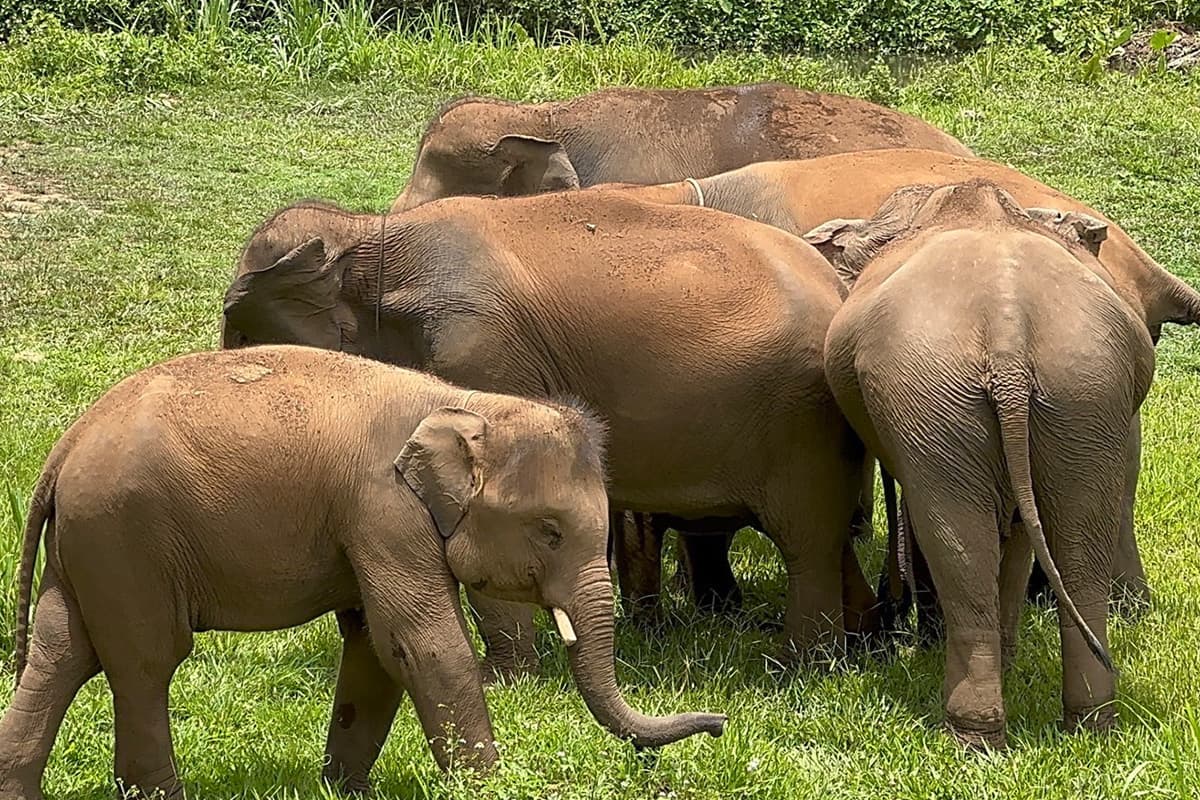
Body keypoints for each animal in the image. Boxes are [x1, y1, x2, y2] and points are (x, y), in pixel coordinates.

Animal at [0, 345, 725, 800]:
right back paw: (157, 793)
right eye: (550, 531)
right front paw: (489, 787)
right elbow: (420, 643)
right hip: (126, 534)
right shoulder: (384, 510)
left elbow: (374, 647)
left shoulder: (367, 524)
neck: (465, 402)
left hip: (91, 544)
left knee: (64, 651)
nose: (718, 725)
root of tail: (65, 445)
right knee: (146, 660)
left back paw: (22, 789)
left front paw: (345, 789)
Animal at [219, 190, 877, 675]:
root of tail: (838, 285)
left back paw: (798, 668)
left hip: (797, 418)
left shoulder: (478, 348)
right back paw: (864, 647)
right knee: (829, 536)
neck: (374, 235)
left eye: (243, 334)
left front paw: (505, 679)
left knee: (807, 538)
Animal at [814, 179, 1157, 748]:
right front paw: (1010, 661)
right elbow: (1018, 532)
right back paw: (1089, 724)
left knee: (957, 540)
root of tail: (1007, 330)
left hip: (943, 396)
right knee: (1076, 543)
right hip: (1083, 391)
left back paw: (971, 737)